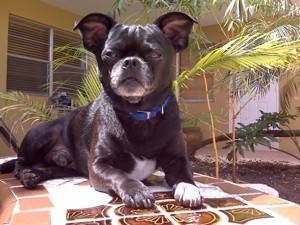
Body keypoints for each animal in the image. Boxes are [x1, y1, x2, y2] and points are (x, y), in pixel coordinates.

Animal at [9, 11, 202, 209]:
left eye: (155, 54)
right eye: (110, 54)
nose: (130, 61)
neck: (139, 114)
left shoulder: (177, 159)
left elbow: (185, 175)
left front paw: (188, 188)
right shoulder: (98, 165)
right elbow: (119, 174)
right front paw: (136, 190)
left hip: (64, 167)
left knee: (50, 170)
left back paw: (35, 175)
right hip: (39, 135)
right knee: (20, 160)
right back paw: (24, 173)